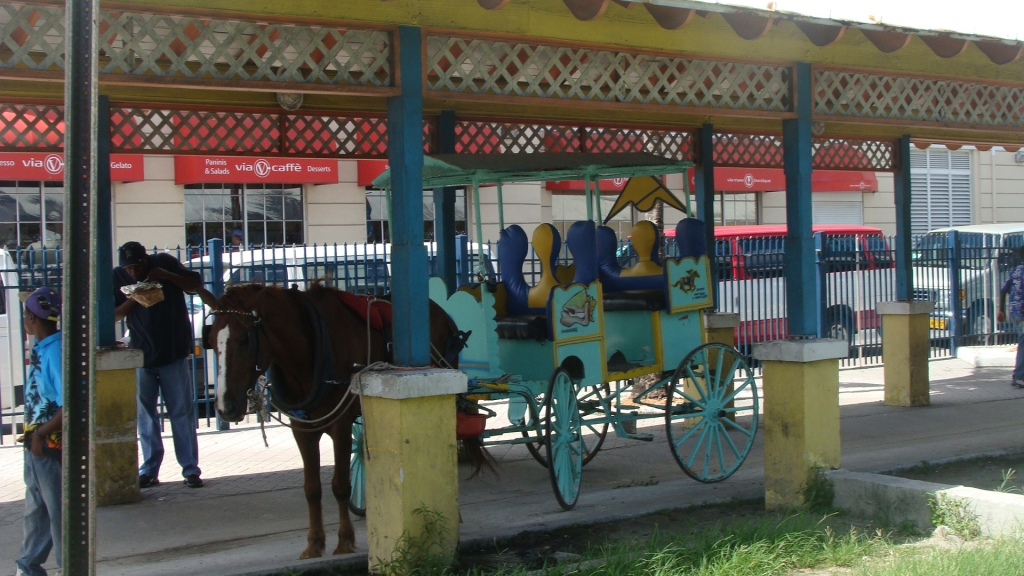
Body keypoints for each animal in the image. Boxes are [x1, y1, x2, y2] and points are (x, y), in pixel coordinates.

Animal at [205, 282, 462, 557]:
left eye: (245, 341)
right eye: (210, 340)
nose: (225, 407)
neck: (311, 348)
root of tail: (442, 312)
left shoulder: (341, 424)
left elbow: (340, 485)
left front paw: (345, 541)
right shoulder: (302, 429)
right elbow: (311, 488)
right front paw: (314, 543)